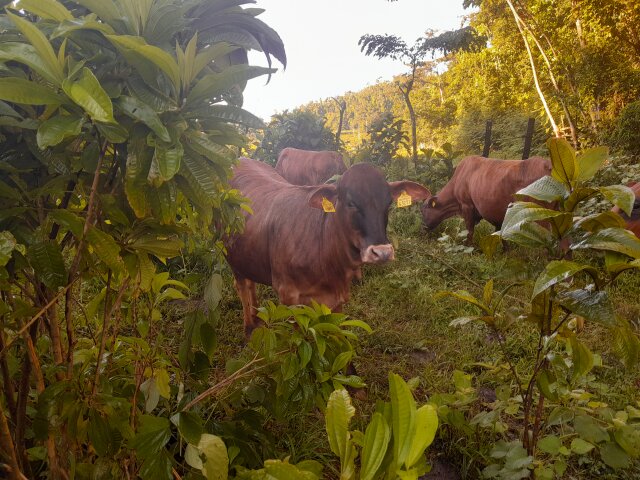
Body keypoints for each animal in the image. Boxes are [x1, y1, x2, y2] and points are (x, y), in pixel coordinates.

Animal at [225, 158, 432, 336]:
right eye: (350, 203)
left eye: (388, 203)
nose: (382, 253)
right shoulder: (288, 296)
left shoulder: (337, 297)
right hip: (231, 257)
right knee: (242, 286)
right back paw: (249, 327)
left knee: (250, 283)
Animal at [421, 156, 552, 244]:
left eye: (422, 211)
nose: (423, 228)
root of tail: (547, 164)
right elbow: (500, 235)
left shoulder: (467, 206)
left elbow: (469, 231)